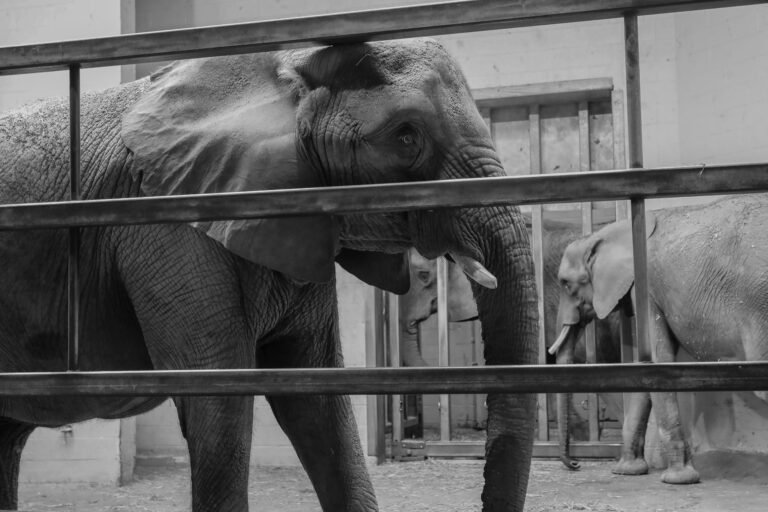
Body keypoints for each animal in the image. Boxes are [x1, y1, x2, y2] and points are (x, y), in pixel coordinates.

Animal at [555, 193, 768, 485]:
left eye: (565, 283)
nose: (575, 464)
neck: (609, 232)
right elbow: (644, 366)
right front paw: (627, 471)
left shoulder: (646, 289)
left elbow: (659, 357)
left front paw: (679, 479)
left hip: (759, 304)